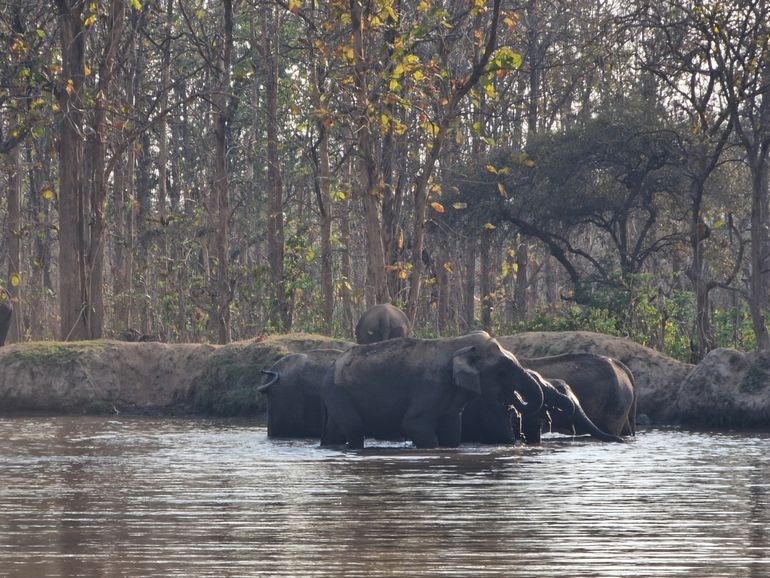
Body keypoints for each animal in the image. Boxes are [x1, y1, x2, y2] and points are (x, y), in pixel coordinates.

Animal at [320, 330, 544, 448]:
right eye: (502, 372)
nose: (513, 404)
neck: (457, 342)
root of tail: (331, 365)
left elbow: (452, 430)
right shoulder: (430, 388)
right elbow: (413, 423)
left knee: (334, 431)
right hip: (339, 393)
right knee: (354, 429)